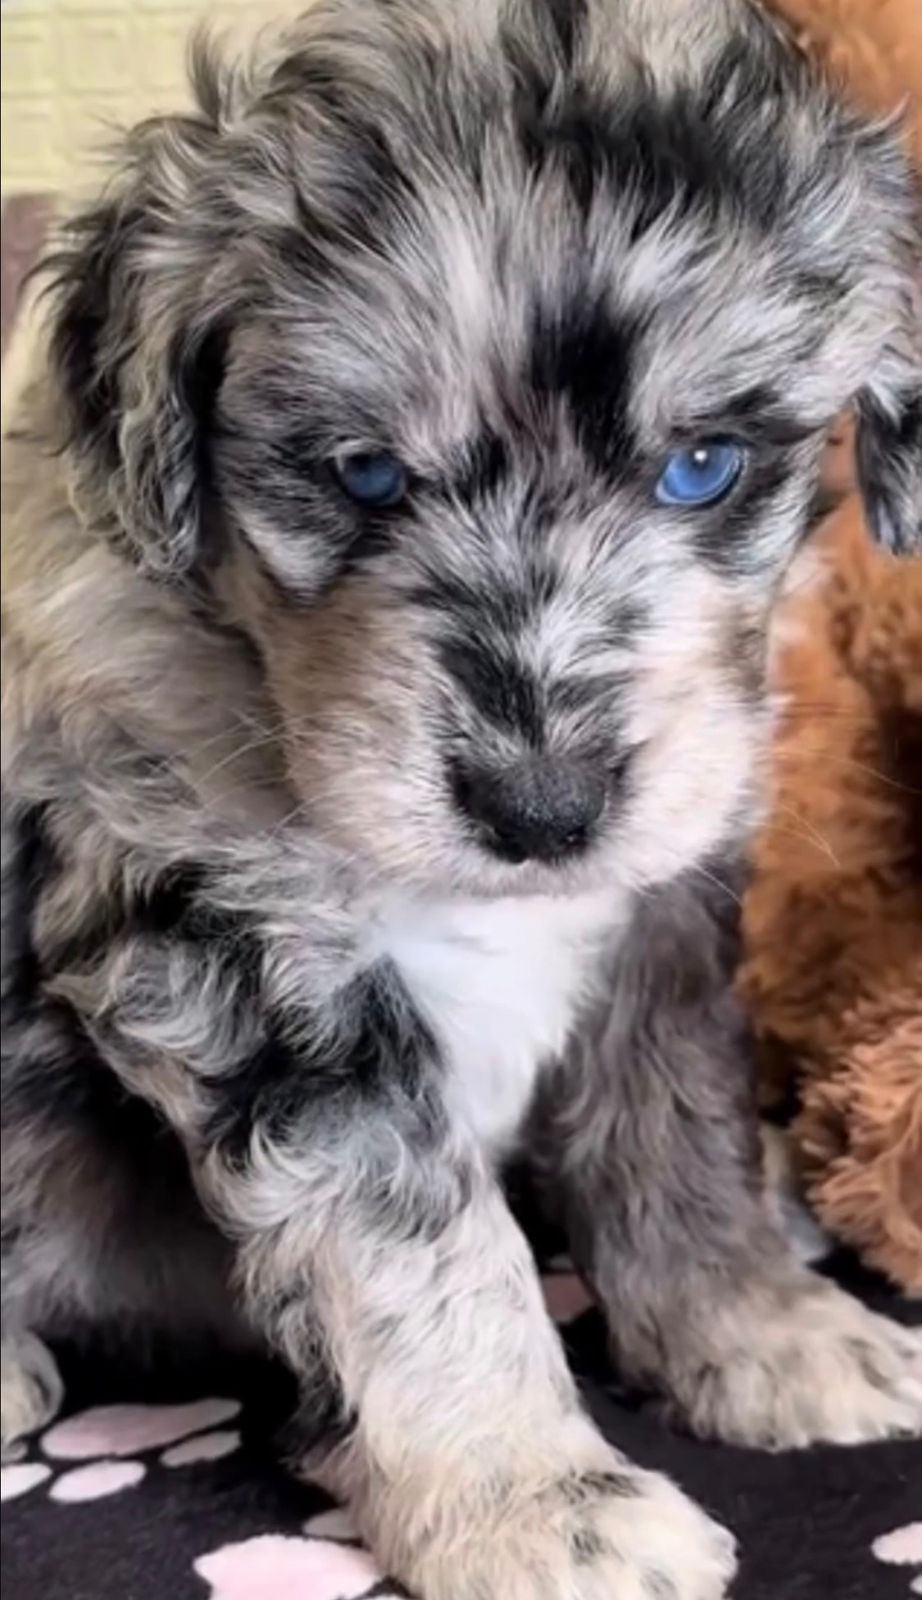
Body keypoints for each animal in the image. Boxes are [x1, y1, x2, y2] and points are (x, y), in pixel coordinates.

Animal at [2, 2, 920, 1596]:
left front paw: (761, 1332)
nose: (539, 805)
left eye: (704, 467)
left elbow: (676, 1124)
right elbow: (414, 1240)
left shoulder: (663, 910)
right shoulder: (240, 951)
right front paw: (540, 1505)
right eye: (365, 475)